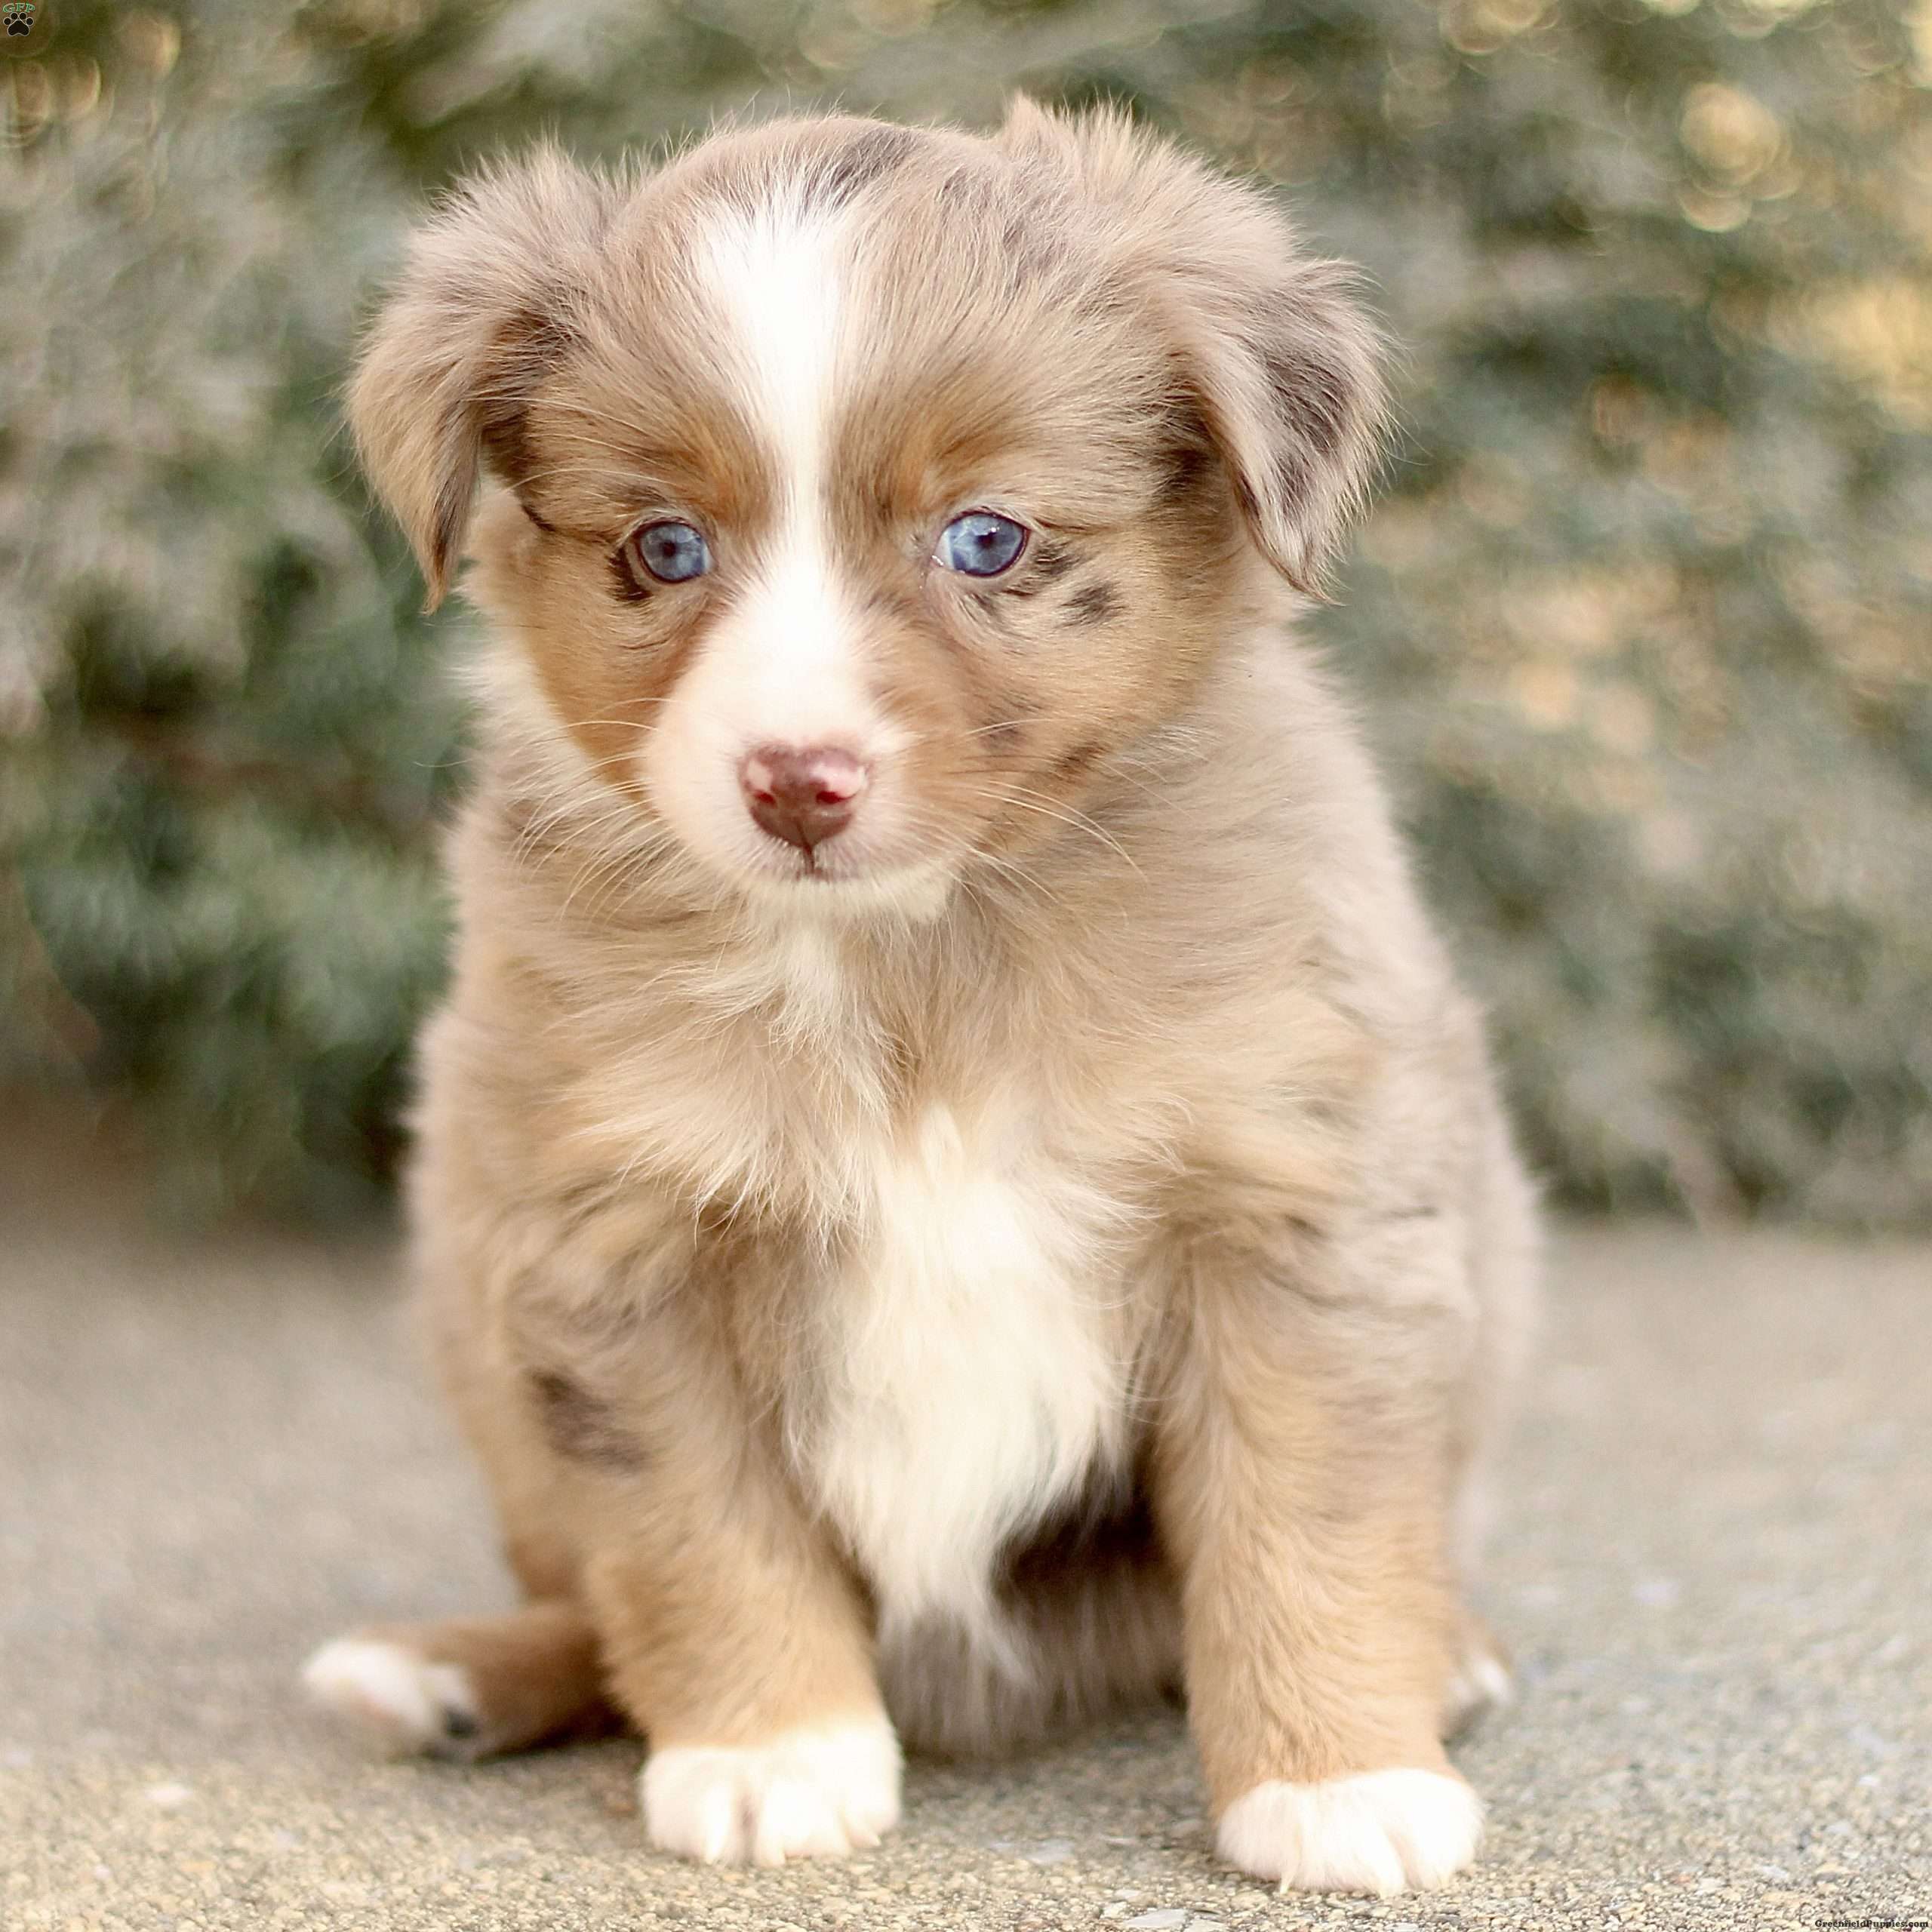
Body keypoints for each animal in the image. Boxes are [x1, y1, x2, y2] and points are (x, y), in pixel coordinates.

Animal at [305, 97, 1537, 1893]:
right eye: (662, 547)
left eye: (987, 539)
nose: (794, 781)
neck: (915, 959)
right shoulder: (611, 1241)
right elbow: (694, 1529)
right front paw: (772, 1751)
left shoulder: (1296, 1202)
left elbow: (1301, 1514)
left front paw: (1337, 1777)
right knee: (580, 1599)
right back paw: (444, 1670)